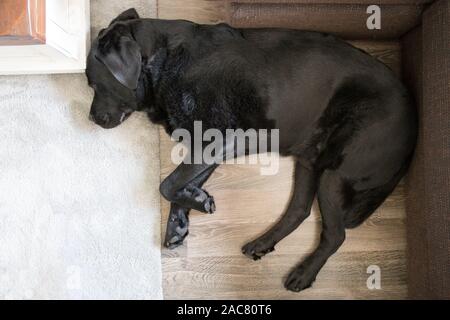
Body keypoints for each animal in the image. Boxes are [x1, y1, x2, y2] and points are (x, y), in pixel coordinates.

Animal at [86, 8, 416, 292]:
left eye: (93, 83)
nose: (90, 119)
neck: (164, 63)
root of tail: (414, 125)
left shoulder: (224, 139)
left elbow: (167, 184)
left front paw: (196, 202)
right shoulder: (204, 145)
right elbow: (181, 183)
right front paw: (183, 217)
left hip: (337, 171)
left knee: (335, 234)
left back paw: (303, 274)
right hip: (310, 161)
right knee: (298, 210)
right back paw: (263, 243)